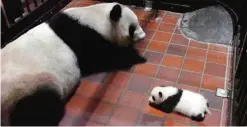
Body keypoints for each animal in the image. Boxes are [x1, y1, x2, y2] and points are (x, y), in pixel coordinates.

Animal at [0, 2, 146, 125]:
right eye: (132, 28)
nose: (143, 36)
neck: (97, 18)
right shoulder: (82, 36)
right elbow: (99, 57)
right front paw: (134, 55)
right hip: (28, 85)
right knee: (37, 112)